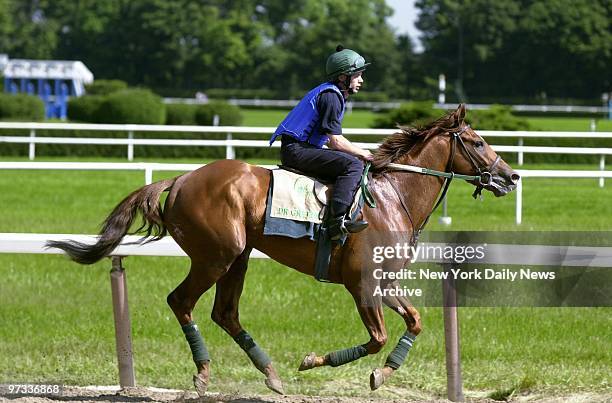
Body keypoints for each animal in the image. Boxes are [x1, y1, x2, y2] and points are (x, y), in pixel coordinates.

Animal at [47, 105, 520, 398]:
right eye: (478, 142)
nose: (511, 176)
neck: (393, 197)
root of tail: (179, 179)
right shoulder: (362, 284)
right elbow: (377, 338)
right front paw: (316, 361)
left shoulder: (385, 283)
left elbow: (416, 323)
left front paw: (384, 372)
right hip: (216, 256)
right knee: (181, 301)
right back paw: (203, 373)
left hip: (237, 258)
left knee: (225, 313)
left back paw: (270, 373)